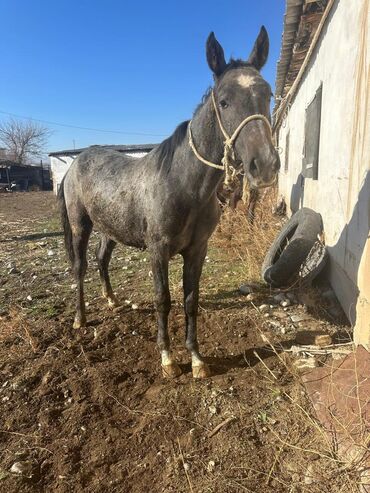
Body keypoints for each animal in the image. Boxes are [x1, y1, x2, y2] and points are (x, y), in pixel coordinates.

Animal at [57, 26, 278, 378]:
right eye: (224, 101)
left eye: (268, 95)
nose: (265, 165)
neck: (183, 185)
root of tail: (75, 163)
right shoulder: (158, 251)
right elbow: (163, 300)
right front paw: (168, 359)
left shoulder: (197, 250)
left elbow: (190, 300)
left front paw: (197, 359)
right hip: (81, 225)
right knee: (80, 267)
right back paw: (80, 318)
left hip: (110, 229)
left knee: (102, 259)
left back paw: (112, 300)